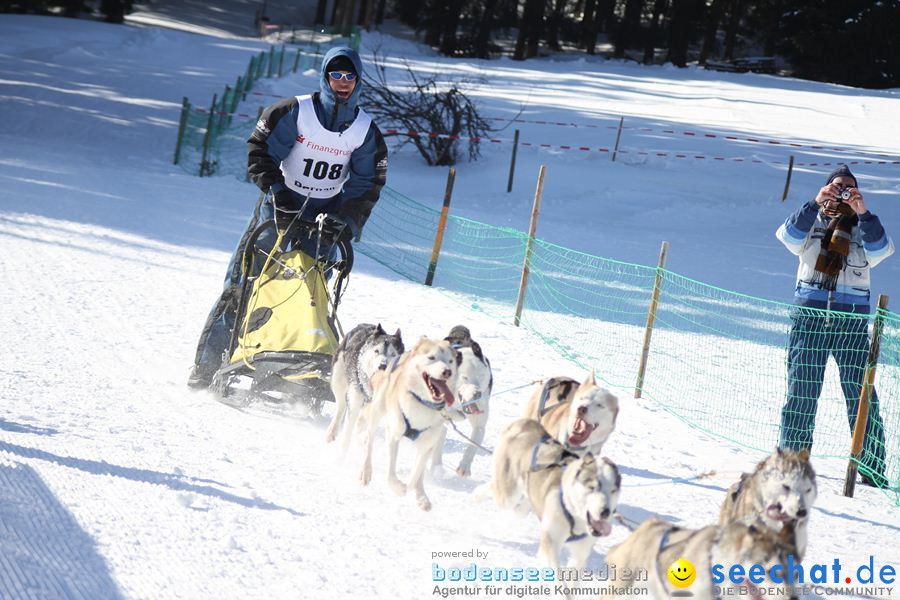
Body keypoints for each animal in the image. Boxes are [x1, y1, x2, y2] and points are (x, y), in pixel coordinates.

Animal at [358, 338, 458, 510]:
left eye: (450, 361)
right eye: (432, 357)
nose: (447, 371)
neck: (421, 402)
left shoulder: (427, 445)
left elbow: (416, 474)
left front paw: (414, 492)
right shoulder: (393, 434)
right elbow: (391, 472)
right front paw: (398, 487)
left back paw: (421, 495)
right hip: (378, 410)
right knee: (368, 441)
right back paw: (366, 470)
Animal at [428, 326, 492, 476]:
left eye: (481, 376)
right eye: (465, 377)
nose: (477, 394)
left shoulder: (479, 425)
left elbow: (473, 444)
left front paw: (465, 466)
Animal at [492, 418, 620, 572]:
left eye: (613, 490)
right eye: (592, 487)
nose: (605, 512)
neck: (574, 516)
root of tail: (526, 422)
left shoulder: (580, 554)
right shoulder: (550, 542)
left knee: (518, 509)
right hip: (508, 495)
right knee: (489, 490)